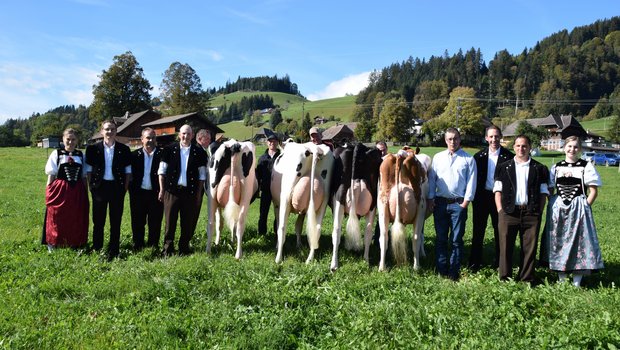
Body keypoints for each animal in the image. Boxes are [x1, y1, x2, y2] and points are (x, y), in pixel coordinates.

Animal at [330, 142, 382, 270]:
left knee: (336, 230)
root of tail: (358, 145)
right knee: (368, 231)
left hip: (339, 199)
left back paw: (334, 265)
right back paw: (366, 260)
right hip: (373, 204)